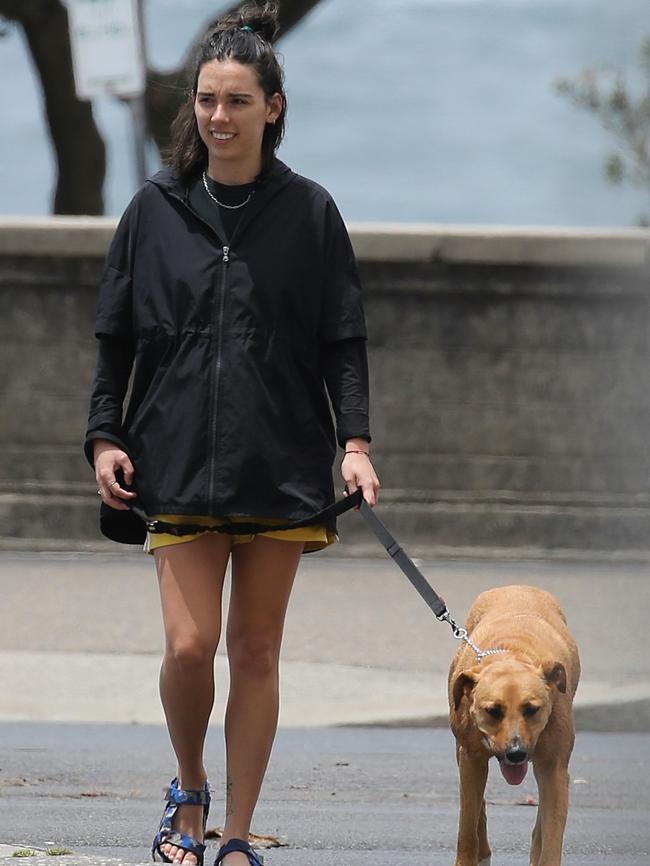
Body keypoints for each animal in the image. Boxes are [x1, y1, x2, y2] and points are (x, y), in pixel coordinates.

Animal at [446, 580, 576, 864]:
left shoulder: (554, 767)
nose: (516, 753)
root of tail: (517, 585)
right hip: (462, 753)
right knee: (477, 807)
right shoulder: (471, 758)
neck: (512, 654)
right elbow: (467, 826)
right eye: (493, 710)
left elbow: (552, 832)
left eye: (532, 709)